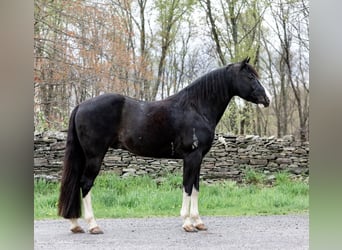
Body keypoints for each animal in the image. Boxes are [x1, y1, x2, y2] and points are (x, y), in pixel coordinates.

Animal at [58, 57, 270, 233]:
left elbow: (196, 187)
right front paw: (187, 223)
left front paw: (198, 222)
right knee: (85, 184)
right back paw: (93, 225)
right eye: (250, 76)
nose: (266, 100)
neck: (196, 108)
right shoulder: (191, 157)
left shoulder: (199, 158)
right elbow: (187, 186)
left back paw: (75, 225)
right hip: (94, 156)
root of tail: (80, 106)